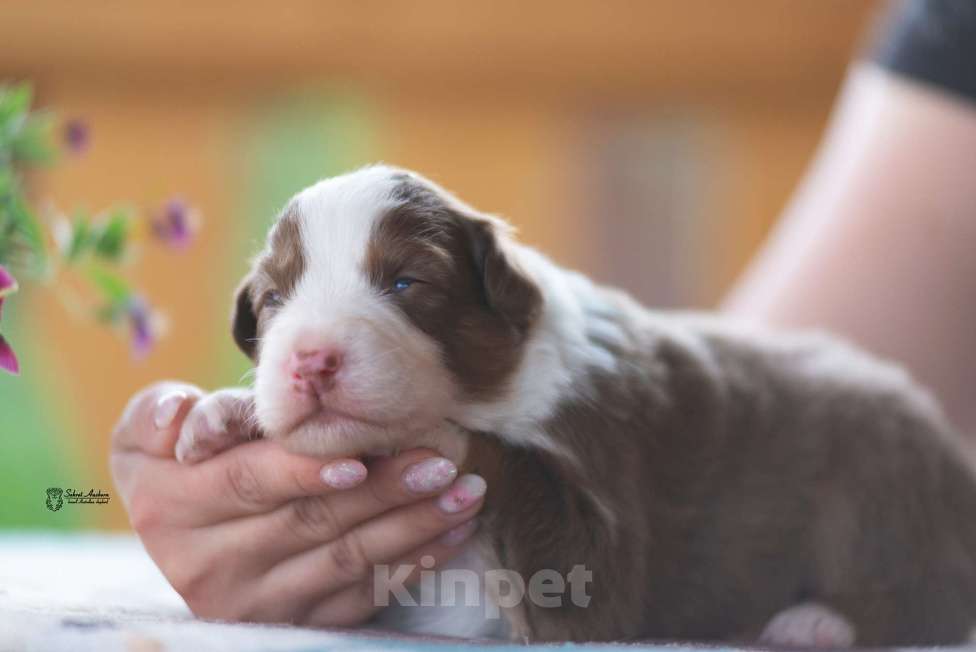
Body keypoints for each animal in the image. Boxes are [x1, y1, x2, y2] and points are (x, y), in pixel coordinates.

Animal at [175, 164, 976, 648]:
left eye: (406, 284)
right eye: (273, 300)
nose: (311, 360)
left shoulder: (599, 524)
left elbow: (557, 532)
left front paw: (426, 432)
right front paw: (219, 413)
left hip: (882, 486)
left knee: (926, 595)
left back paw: (812, 623)